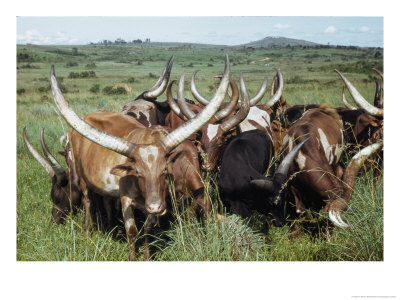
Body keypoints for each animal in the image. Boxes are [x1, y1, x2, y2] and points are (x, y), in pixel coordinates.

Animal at [50, 54, 231, 260]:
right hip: (81, 176)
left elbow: (147, 229)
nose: (155, 207)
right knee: (87, 201)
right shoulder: (125, 200)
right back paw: (88, 232)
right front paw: (132, 257)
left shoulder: (155, 202)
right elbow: (132, 231)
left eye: (165, 171)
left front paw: (146, 256)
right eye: (137, 172)